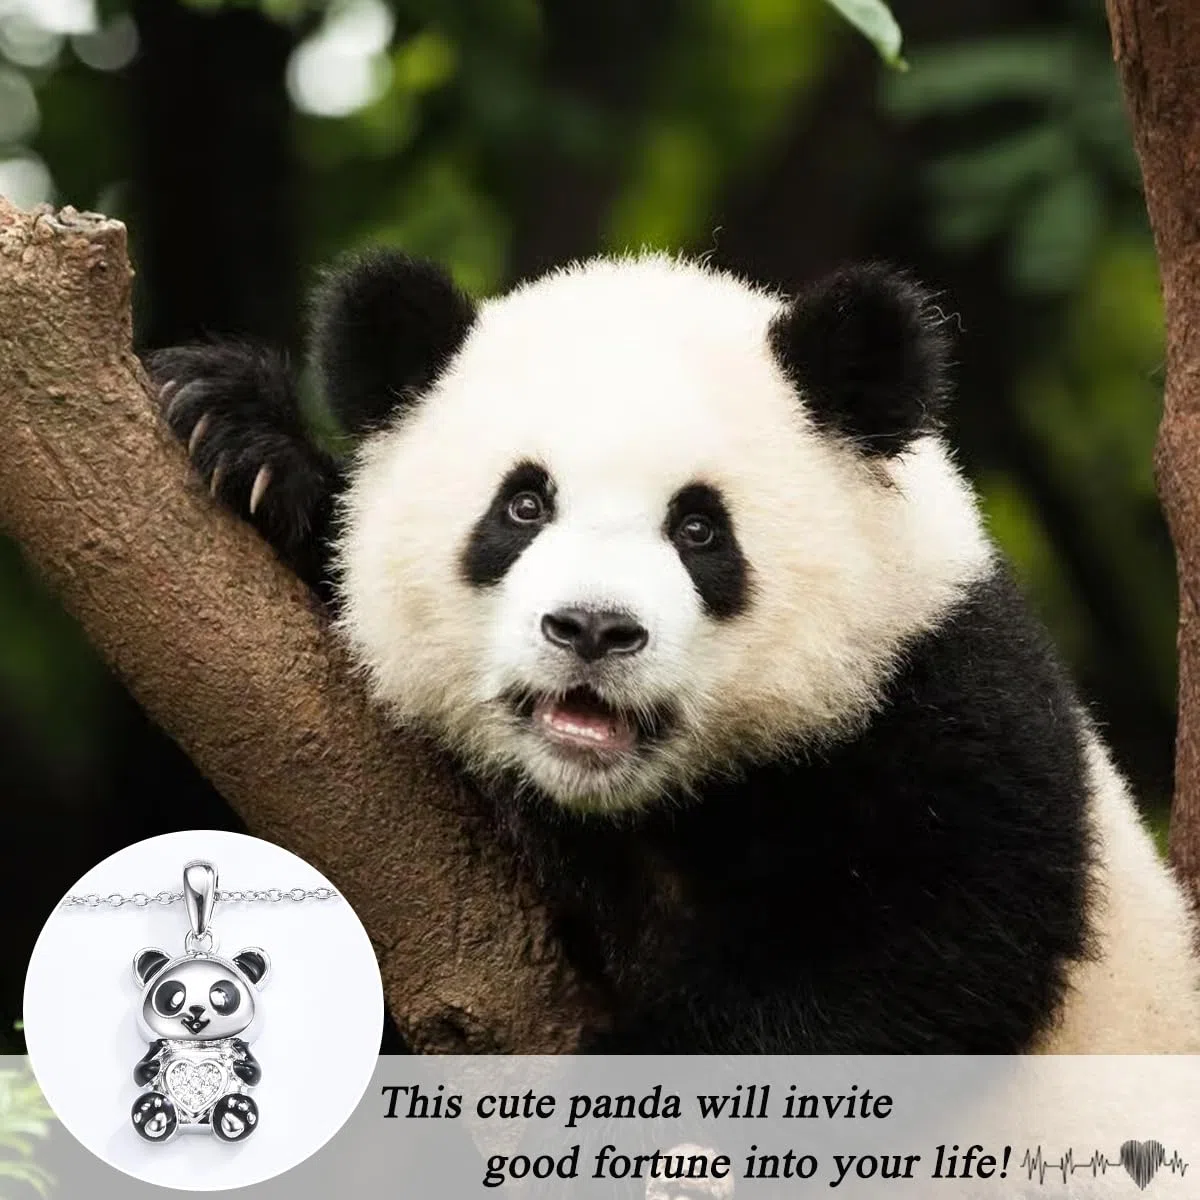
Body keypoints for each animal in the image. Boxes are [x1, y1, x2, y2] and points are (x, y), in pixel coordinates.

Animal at [129, 944, 269, 1142]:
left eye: (221, 997)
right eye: (175, 997)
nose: (196, 1010)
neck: (198, 1047)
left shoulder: (241, 1046)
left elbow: (254, 1072)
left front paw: (238, 1065)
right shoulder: (156, 1047)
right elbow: (140, 1073)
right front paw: (154, 1065)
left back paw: (236, 1113)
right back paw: (152, 1111)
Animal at [148, 251, 1200, 1054]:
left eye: (699, 530)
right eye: (522, 506)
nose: (593, 628)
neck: (631, 808)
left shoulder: (942, 697)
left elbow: (927, 953)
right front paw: (244, 441)